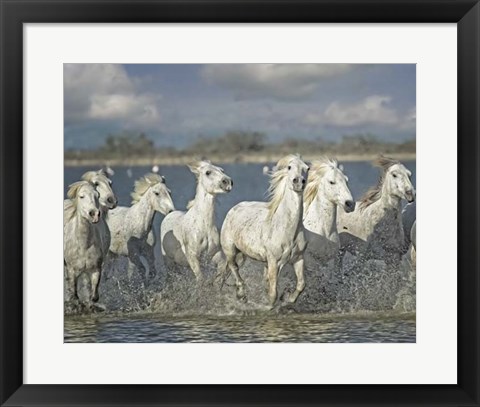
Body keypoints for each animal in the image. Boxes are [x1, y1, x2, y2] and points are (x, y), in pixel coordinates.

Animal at [220, 155, 308, 308]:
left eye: (306, 168)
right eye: (289, 167)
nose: (298, 182)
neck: (288, 229)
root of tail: (233, 209)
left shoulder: (298, 258)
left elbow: (301, 284)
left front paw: (288, 298)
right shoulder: (273, 261)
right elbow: (273, 293)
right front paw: (266, 306)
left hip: (242, 253)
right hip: (230, 249)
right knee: (233, 267)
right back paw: (241, 295)